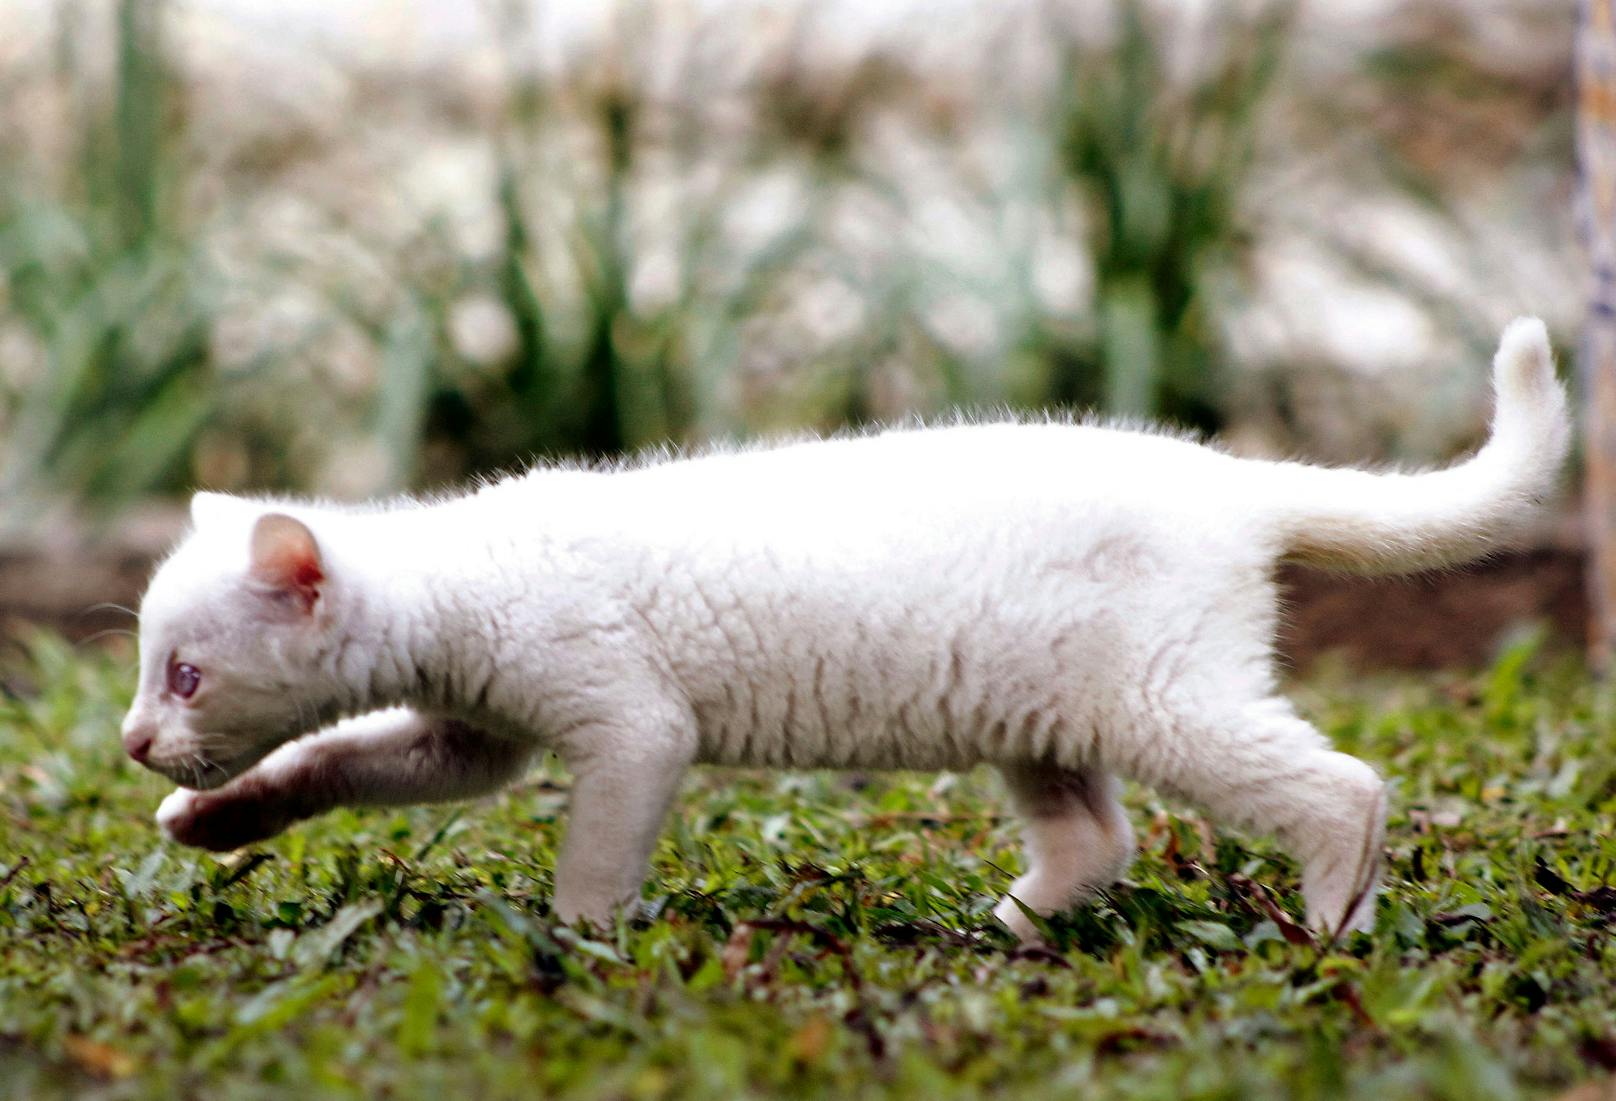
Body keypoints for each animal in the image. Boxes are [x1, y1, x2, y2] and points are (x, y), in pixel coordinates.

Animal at [122, 318, 1564, 937]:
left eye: (185, 674)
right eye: (148, 674)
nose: (134, 741)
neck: (459, 568)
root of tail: (1236, 479)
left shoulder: (632, 726)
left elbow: (594, 850)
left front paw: (579, 943)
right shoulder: (468, 737)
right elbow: (334, 760)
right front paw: (214, 819)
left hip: (1168, 700)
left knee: (1344, 785)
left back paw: (1330, 924)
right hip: (1046, 712)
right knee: (1097, 840)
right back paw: (1007, 924)